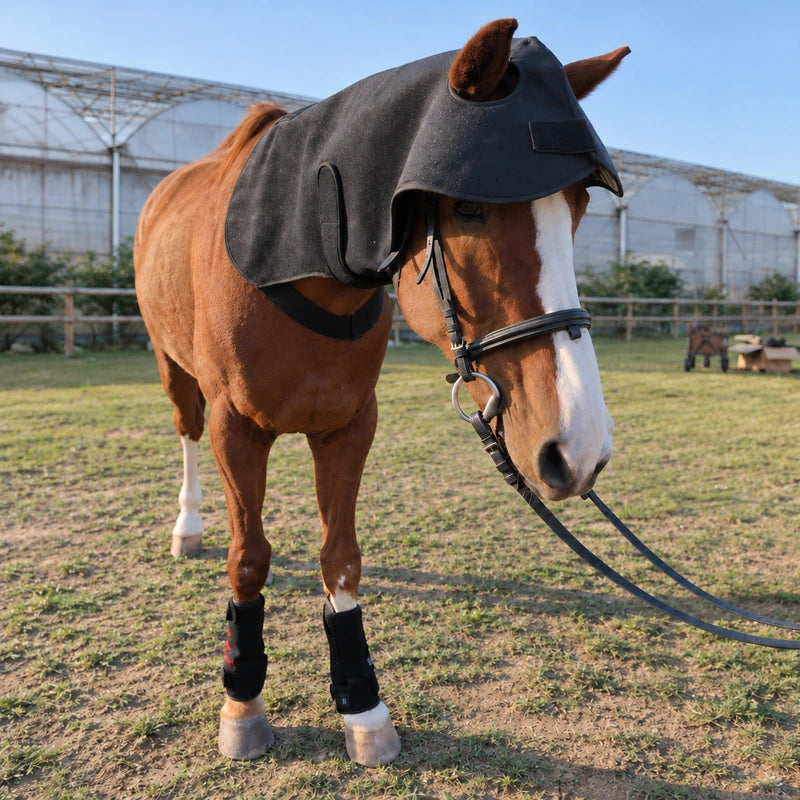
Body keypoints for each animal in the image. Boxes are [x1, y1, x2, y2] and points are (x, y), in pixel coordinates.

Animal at [134, 18, 629, 767]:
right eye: (470, 208)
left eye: (575, 207)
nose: (580, 448)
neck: (298, 267)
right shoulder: (236, 426)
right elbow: (248, 559)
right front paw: (242, 701)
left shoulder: (348, 424)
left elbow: (340, 560)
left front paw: (363, 708)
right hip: (174, 369)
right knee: (186, 433)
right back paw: (188, 527)